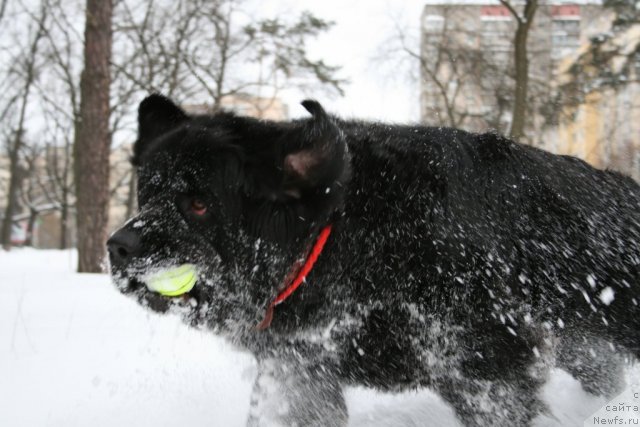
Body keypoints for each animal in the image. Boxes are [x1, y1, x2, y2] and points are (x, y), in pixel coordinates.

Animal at [109, 94, 640, 427]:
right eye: (147, 195)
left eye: (198, 203)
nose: (118, 245)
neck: (338, 240)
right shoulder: (299, 372)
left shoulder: (485, 364)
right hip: (580, 344)